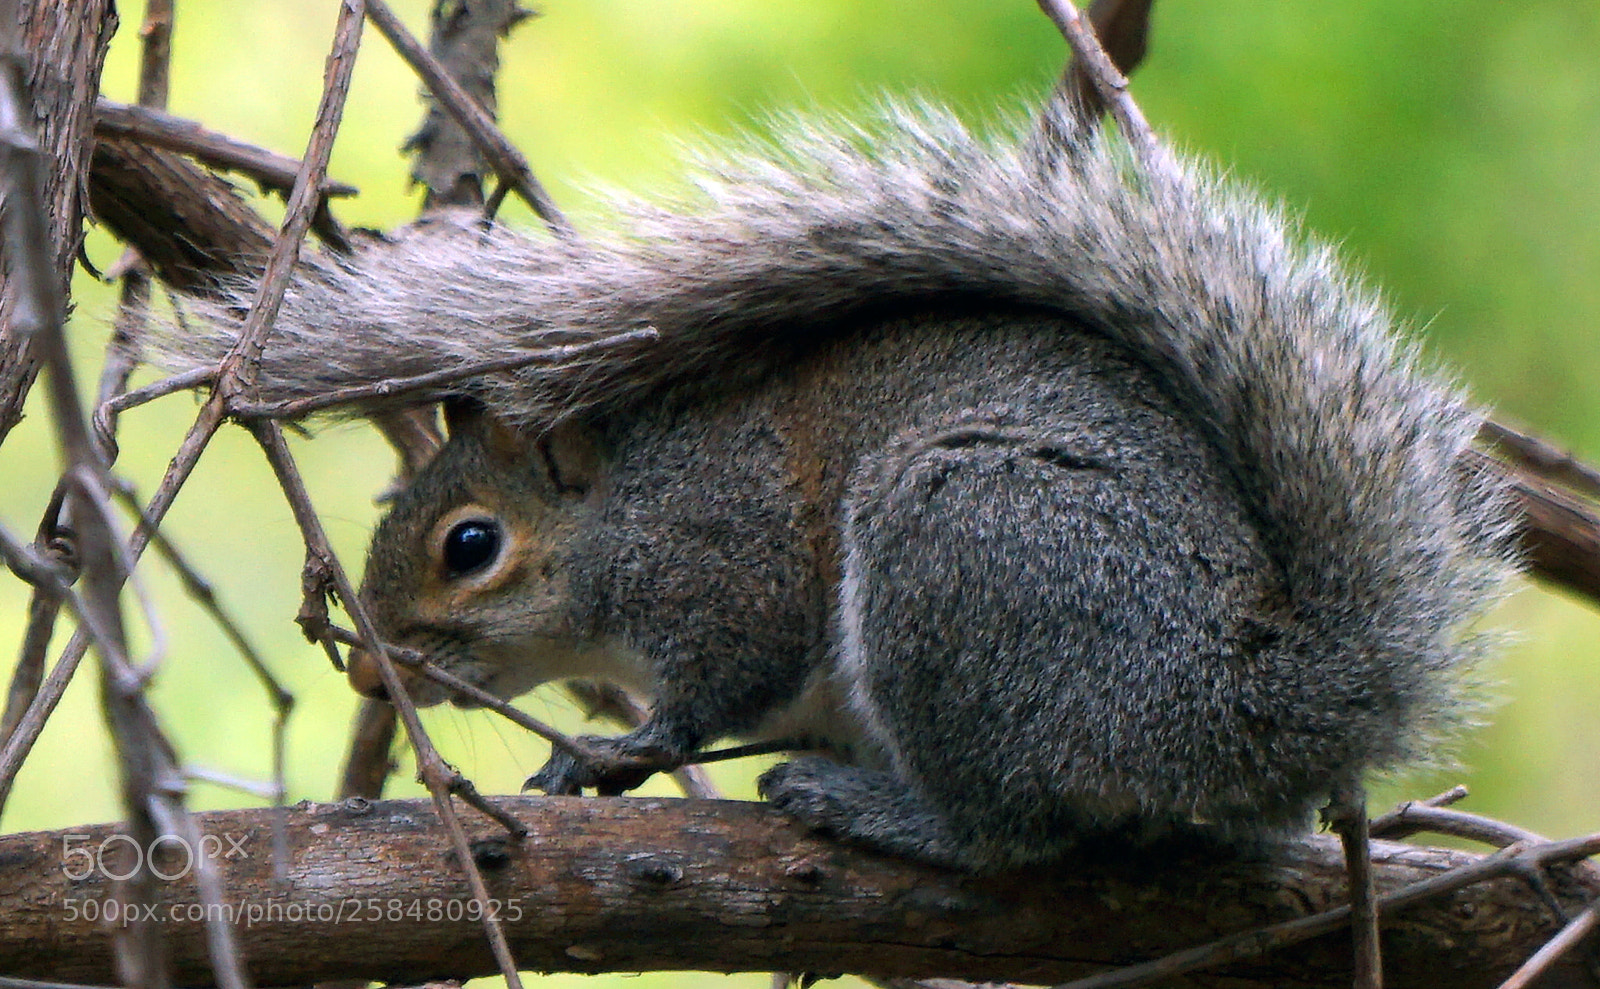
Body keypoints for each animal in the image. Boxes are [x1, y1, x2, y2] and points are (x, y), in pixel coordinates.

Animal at [159, 100, 1516, 870]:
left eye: (471, 545)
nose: (368, 670)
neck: (632, 503)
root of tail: (1245, 696)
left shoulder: (728, 562)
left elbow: (717, 682)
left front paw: (617, 752)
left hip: (962, 552)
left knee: (1015, 829)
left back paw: (878, 809)